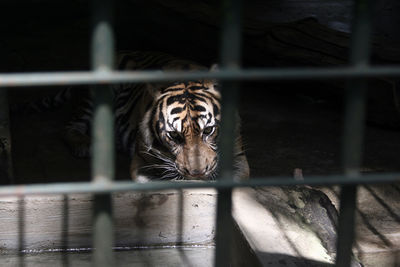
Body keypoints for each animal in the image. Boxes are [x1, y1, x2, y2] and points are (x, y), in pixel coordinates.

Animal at [63, 51, 248, 183]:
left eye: (208, 130)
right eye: (174, 135)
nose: (197, 173)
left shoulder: (238, 159)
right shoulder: (141, 164)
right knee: (71, 125)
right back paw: (83, 144)